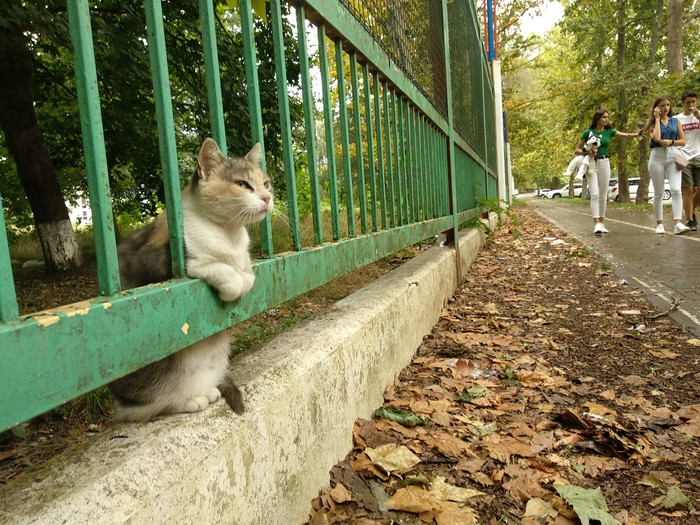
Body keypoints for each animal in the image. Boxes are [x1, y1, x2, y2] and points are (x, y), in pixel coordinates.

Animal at [110, 138, 272, 422]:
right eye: (242, 184)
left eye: (265, 183)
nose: (267, 197)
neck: (228, 233)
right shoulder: (162, 261)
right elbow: (217, 269)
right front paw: (232, 284)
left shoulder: (244, 258)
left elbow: (248, 273)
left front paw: (244, 277)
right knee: (144, 407)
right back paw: (189, 400)